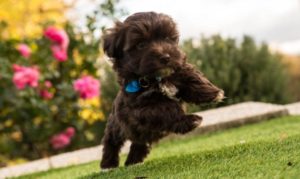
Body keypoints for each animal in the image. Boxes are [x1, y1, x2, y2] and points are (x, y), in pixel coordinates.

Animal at [100, 11, 223, 169]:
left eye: (167, 38)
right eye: (141, 45)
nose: (165, 57)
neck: (156, 78)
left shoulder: (177, 70)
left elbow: (189, 75)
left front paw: (212, 93)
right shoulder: (139, 108)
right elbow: (165, 108)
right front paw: (190, 120)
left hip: (139, 134)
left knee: (139, 143)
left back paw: (133, 161)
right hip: (117, 125)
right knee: (111, 141)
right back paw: (108, 164)